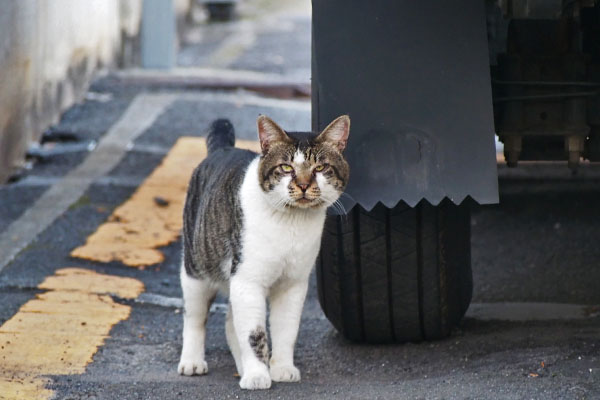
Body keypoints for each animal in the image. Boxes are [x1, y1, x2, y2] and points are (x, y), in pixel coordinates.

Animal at [176, 114, 350, 390]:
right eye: (286, 168)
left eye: (320, 168)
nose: (303, 185)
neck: (291, 223)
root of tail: (222, 149)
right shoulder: (248, 281)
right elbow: (254, 333)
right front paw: (257, 375)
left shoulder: (293, 284)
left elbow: (286, 330)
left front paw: (282, 368)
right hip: (196, 267)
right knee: (195, 316)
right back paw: (192, 361)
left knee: (230, 322)